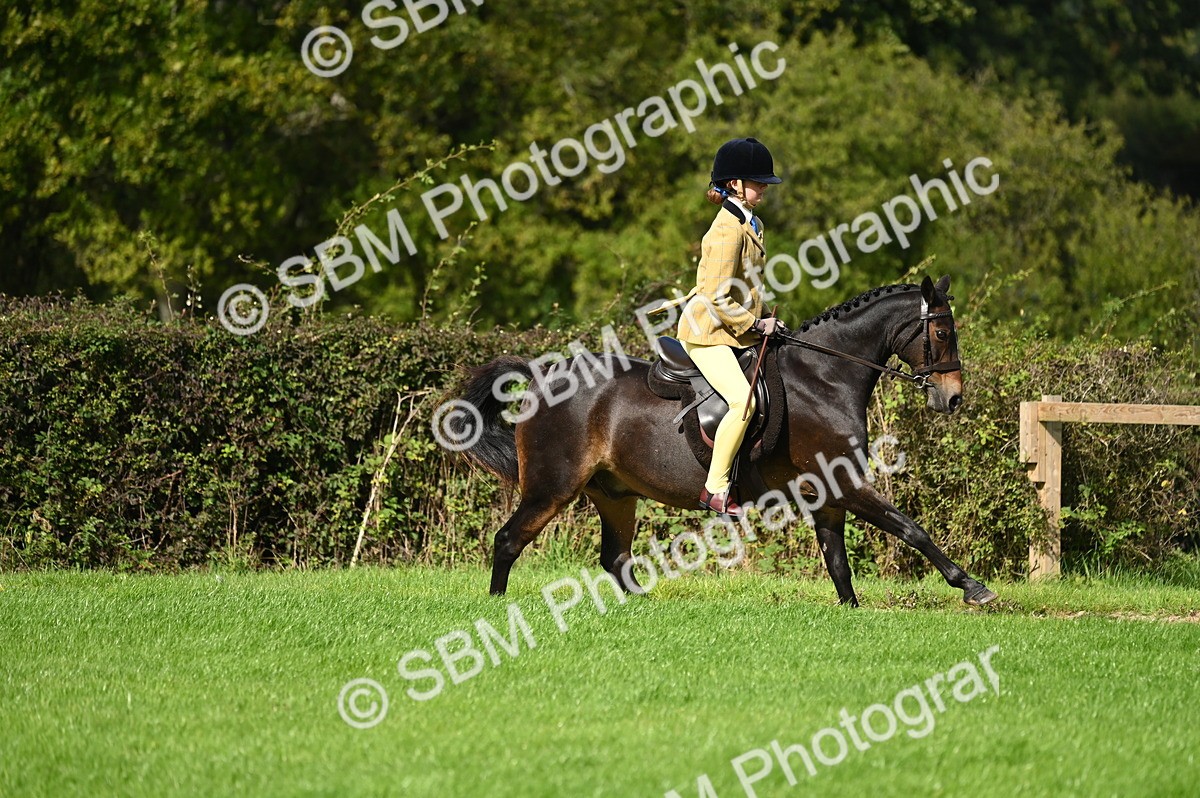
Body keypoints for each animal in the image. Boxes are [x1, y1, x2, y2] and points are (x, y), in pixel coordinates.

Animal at [452, 275, 997, 607]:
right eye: (943, 332)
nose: (952, 398)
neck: (824, 376)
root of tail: (542, 376)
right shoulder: (847, 484)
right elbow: (912, 530)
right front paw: (972, 587)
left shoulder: (828, 493)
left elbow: (838, 561)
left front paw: (852, 611)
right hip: (553, 487)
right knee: (509, 540)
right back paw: (497, 608)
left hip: (615, 494)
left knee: (615, 558)